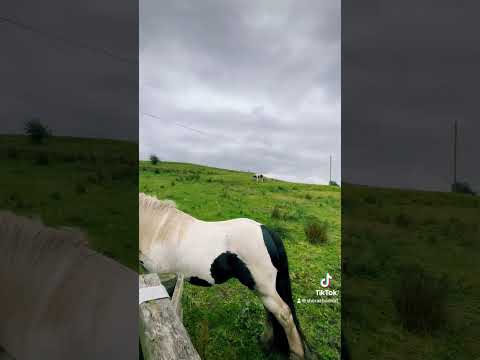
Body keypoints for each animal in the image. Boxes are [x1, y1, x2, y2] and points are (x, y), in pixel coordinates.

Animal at [140, 194, 312, 360]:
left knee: (284, 314)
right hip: (263, 289)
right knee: (271, 312)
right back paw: (266, 343)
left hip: (264, 288)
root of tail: (266, 230)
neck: (159, 230)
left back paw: (295, 355)